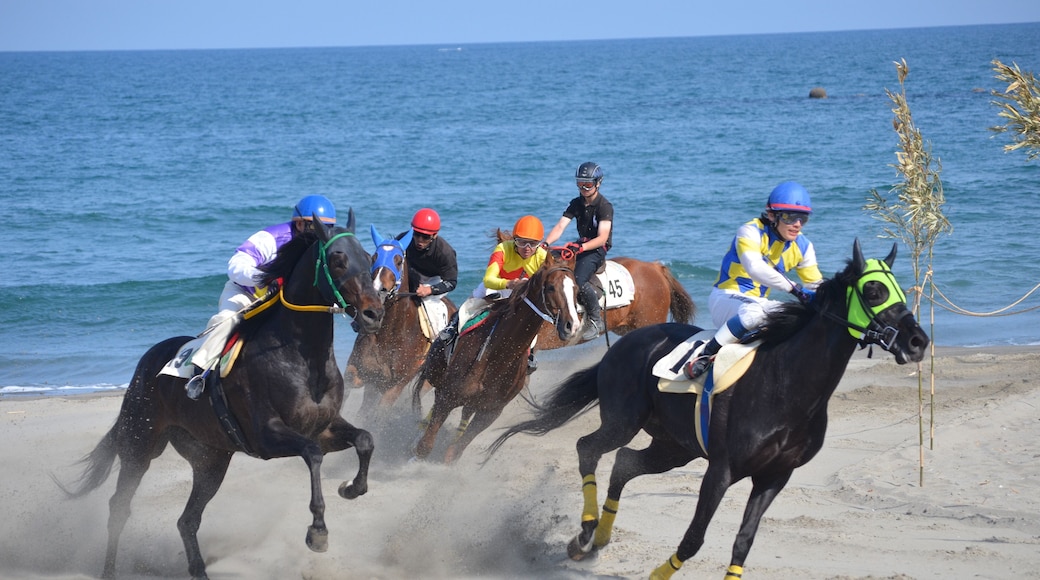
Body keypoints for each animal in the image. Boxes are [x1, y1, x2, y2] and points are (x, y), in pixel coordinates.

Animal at [55, 210, 385, 580]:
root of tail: (147, 361)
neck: (301, 356)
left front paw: (351, 488)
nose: (374, 314)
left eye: (368, 258)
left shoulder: (323, 427)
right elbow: (313, 455)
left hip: (210, 460)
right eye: (337, 259)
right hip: (140, 446)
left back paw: (199, 570)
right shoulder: (268, 436)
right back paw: (109, 570)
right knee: (119, 508)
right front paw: (317, 531)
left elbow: (365, 439)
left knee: (187, 520)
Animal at [344, 226, 457, 416]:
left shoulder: (394, 386)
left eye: (398, 261)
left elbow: (378, 412)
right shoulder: (362, 371)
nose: (377, 290)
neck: (390, 334)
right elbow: (350, 383)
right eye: (374, 258)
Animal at [411, 247, 582, 463]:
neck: (498, 356)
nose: (572, 326)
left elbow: (454, 452)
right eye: (551, 287)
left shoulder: (490, 412)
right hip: (436, 375)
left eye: (576, 289)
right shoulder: (448, 396)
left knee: (465, 412)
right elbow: (425, 446)